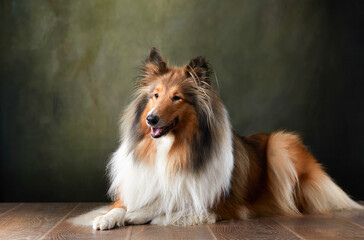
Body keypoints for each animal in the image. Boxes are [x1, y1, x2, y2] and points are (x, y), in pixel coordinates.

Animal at [77, 47, 362, 231]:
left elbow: (164, 204)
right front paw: (108, 217)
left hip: (280, 145)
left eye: (177, 97)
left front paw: (138, 216)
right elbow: (122, 205)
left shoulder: (218, 203)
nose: (151, 119)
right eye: (155, 95)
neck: (170, 149)